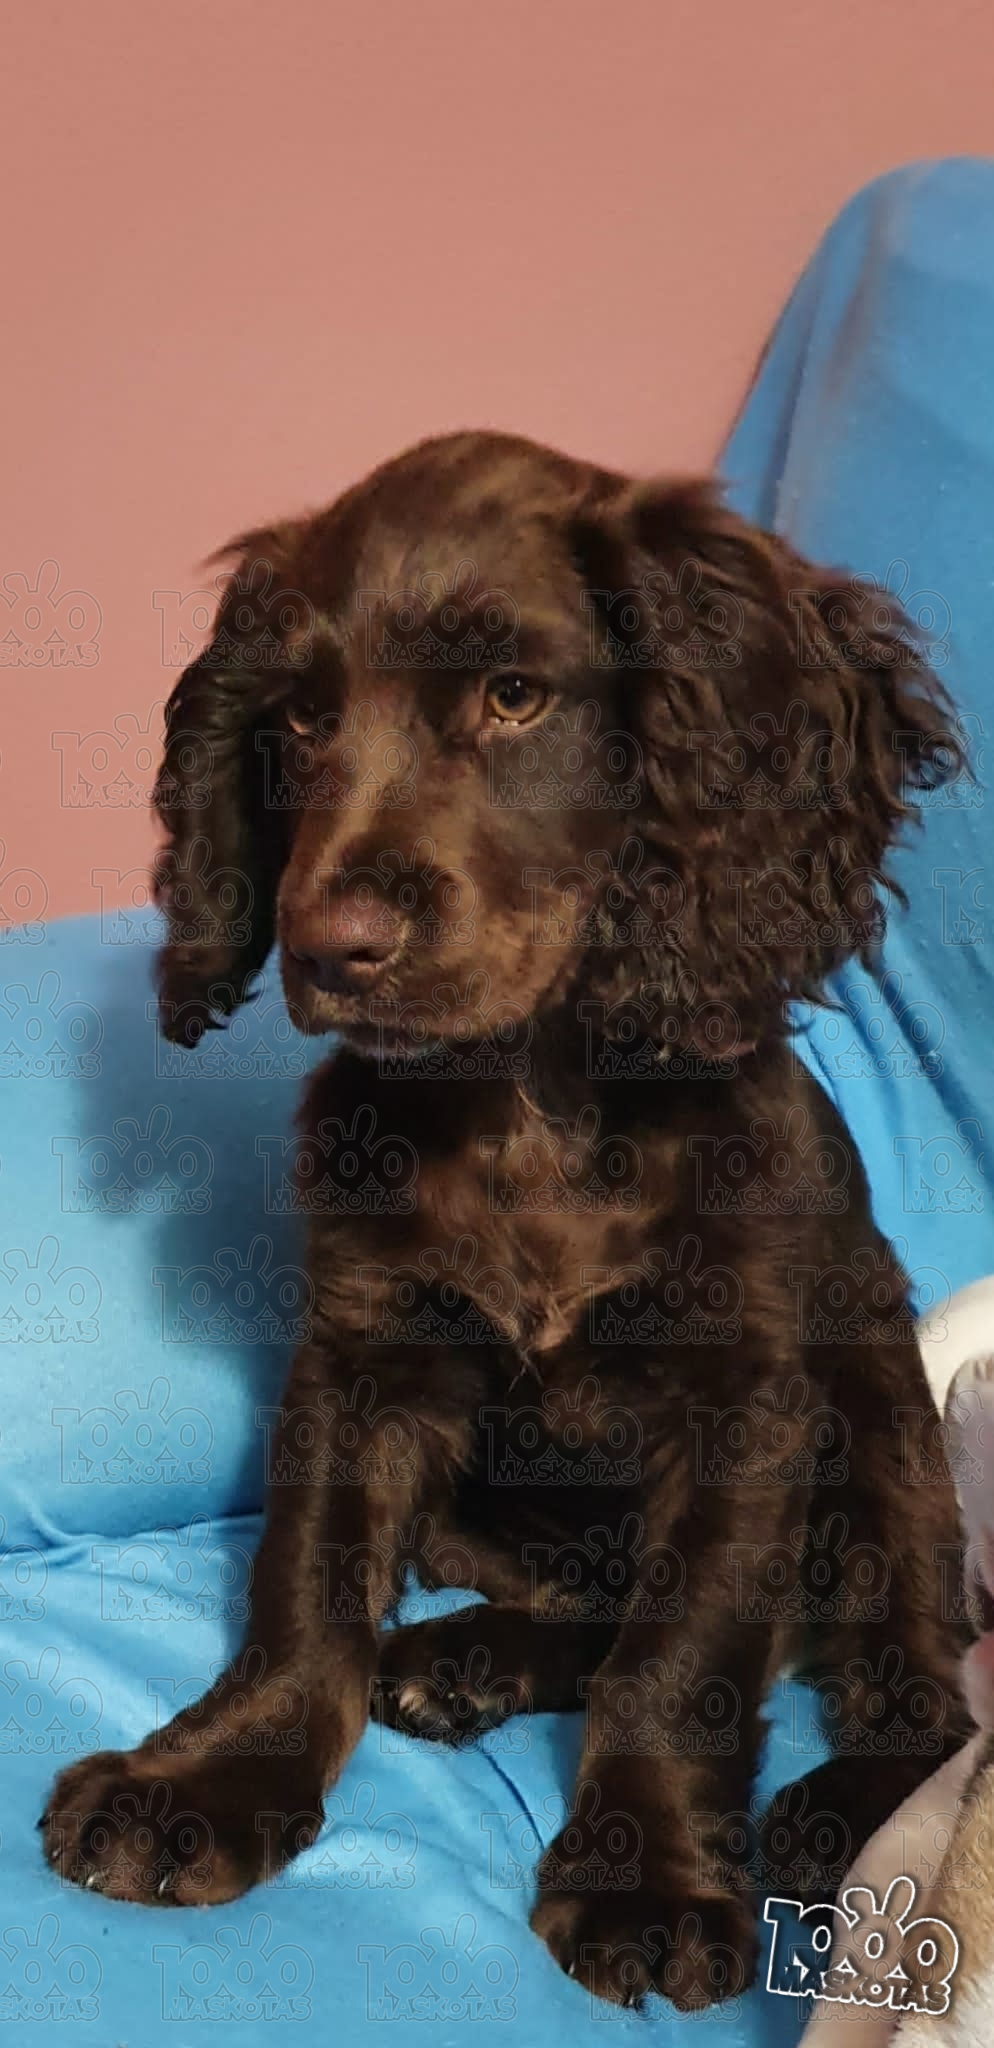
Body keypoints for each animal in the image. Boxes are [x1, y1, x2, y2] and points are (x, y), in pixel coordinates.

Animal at [41, 430, 974, 2010]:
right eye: (298, 720)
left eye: (515, 694)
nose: (327, 948)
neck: (528, 1100)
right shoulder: (361, 1359)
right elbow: (305, 1589)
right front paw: (212, 1783)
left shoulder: (747, 1396)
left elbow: (685, 1648)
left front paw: (645, 1876)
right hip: (487, 1516)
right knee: (589, 1611)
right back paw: (467, 1658)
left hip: (882, 1425)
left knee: (919, 1692)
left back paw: (831, 1808)